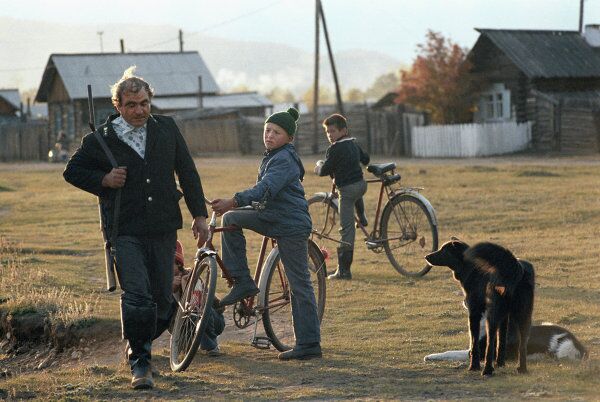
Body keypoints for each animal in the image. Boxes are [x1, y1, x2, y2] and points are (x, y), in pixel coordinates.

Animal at [424, 239, 536, 376]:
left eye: (443, 250)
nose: (426, 257)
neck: (471, 269)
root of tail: (513, 266)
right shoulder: (505, 317)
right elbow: (501, 342)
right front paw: (500, 364)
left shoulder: (474, 313)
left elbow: (474, 343)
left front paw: (474, 366)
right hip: (524, 316)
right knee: (522, 345)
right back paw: (522, 369)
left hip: (492, 315)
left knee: (489, 344)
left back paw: (487, 370)